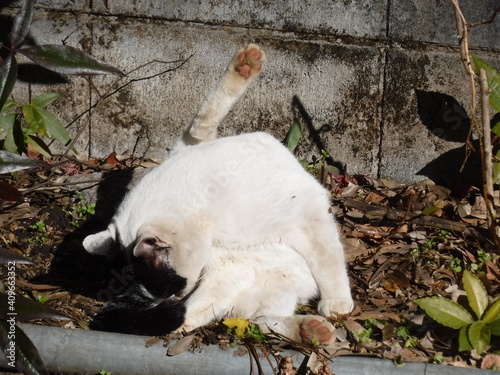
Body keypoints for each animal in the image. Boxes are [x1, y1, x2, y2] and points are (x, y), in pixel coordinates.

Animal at [82, 44, 354, 346]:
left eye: (174, 285)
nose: (178, 297)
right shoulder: (309, 216)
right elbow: (328, 259)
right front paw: (337, 301)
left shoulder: (191, 145)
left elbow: (203, 118)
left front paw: (244, 66)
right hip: (224, 274)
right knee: (206, 320)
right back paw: (313, 329)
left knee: (262, 322)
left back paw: (310, 330)